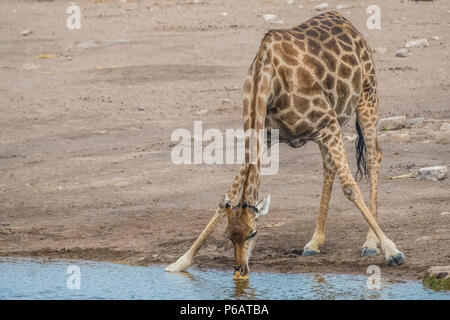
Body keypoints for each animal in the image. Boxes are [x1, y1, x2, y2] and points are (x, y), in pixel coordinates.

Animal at [166, 11, 404, 278]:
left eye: (254, 233)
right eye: (228, 236)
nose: (240, 272)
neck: (266, 81)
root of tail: (344, 20)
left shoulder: (327, 122)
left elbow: (351, 188)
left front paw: (392, 251)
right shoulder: (267, 136)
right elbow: (226, 196)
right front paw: (180, 262)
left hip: (366, 96)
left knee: (374, 156)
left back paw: (370, 243)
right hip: (329, 124)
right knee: (329, 166)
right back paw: (314, 243)